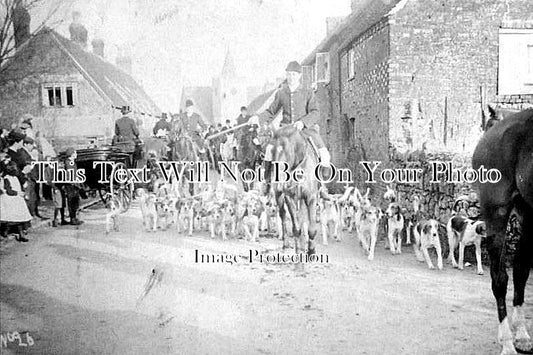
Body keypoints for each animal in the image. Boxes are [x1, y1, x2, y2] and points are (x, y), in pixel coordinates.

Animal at [470, 108, 532, 355]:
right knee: (500, 278)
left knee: (520, 271)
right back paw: (507, 340)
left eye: (485, 123)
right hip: (497, 212)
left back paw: (521, 334)